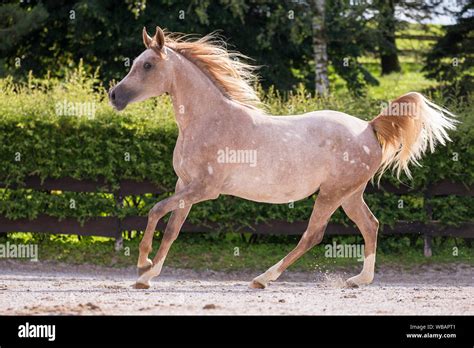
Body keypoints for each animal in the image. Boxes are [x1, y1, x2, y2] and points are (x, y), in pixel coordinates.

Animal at [107, 25, 456, 290]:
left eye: (148, 65)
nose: (113, 95)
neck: (208, 120)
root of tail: (368, 128)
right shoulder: (185, 186)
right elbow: (172, 229)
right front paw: (148, 275)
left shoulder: (204, 189)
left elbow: (154, 210)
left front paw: (142, 264)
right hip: (349, 195)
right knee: (370, 225)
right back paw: (358, 280)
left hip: (332, 194)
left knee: (314, 234)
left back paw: (263, 278)